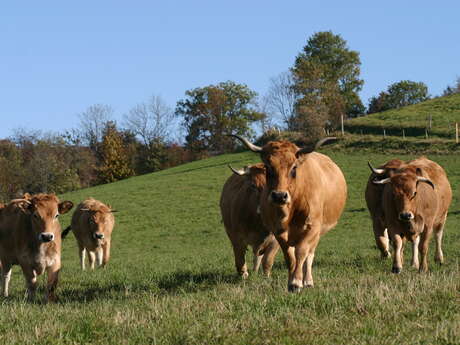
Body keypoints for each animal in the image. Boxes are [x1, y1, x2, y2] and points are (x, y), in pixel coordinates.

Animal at [232, 136, 346, 292]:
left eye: (294, 167)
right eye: (268, 167)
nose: (279, 196)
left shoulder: (312, 228)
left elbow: (302, 253)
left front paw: (297, 282)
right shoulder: (278, 231)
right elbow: (290, 257)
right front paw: (291, 281)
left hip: (317, 233)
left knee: (309, 256)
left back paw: (308, 281)